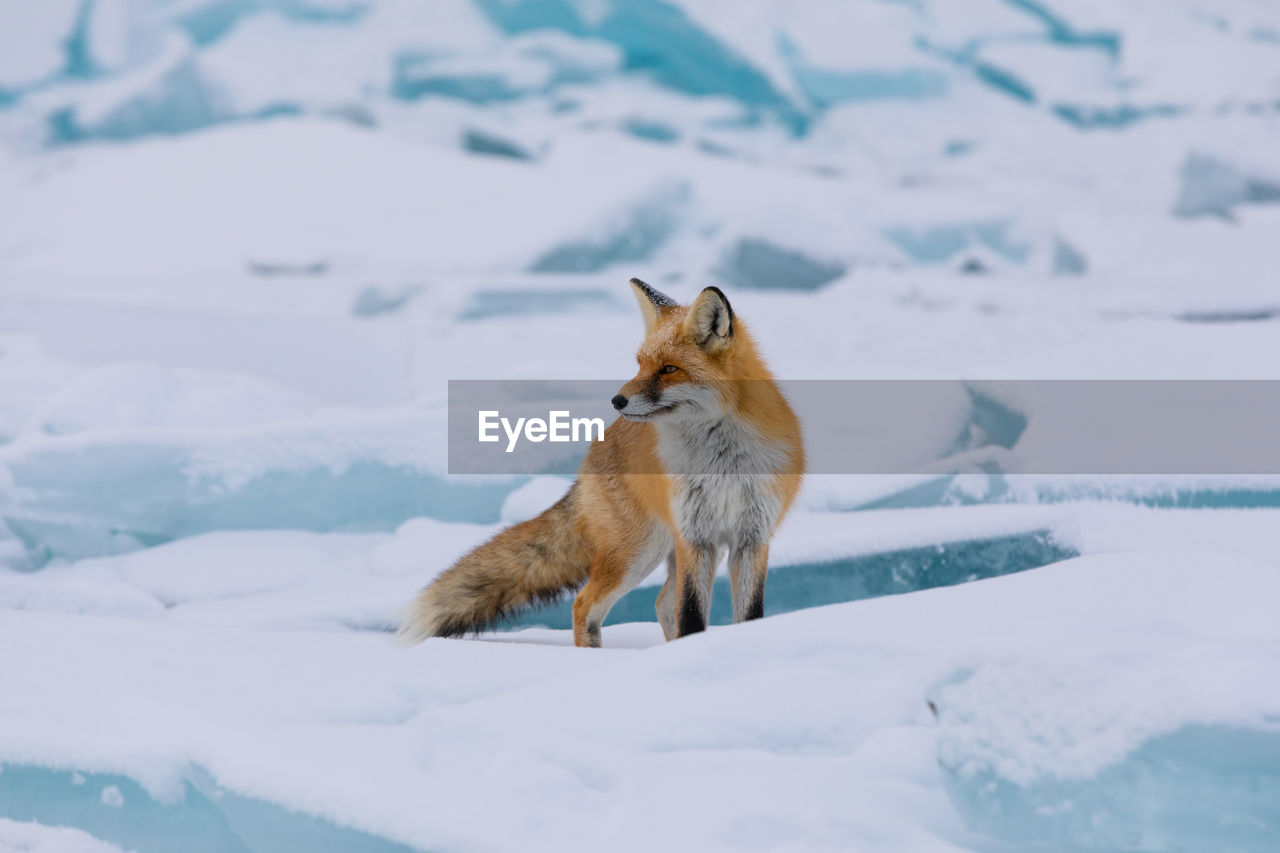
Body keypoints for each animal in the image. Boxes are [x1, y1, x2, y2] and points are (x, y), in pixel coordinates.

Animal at [399, 279, 798, 645]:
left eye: (669, 369)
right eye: (640, 365)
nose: (617, 400)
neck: (722, 463)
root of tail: (597, 444)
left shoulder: (752, 538)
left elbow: (748, 616)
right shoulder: (694, 537)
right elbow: (691, 615)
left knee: (660, 604)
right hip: (638, 551)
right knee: (585, 604)